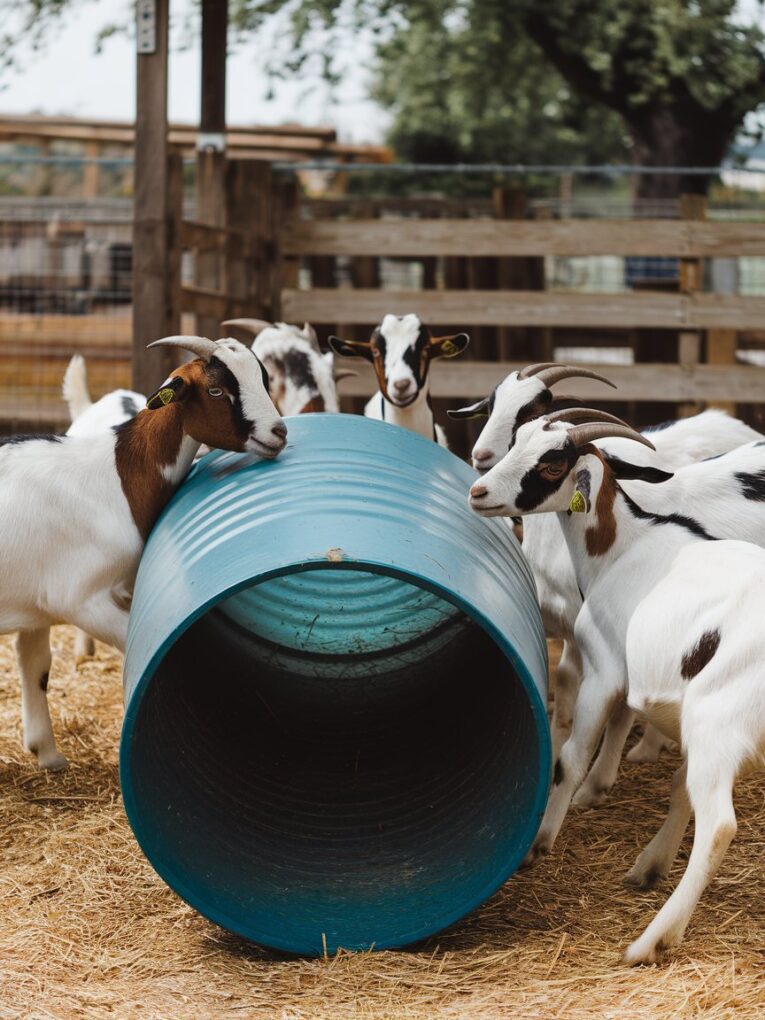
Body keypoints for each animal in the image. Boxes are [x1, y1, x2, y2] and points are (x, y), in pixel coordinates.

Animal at [4, 336, 286, 771]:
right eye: (216, 391)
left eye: (263, 377)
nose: (279, 432)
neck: (118, 475)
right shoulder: (79, 598)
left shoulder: (36, 599)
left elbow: (36, 665)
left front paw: (48, 755)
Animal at [469, 409, 765, 963]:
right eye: (519, 438)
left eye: (552, 463)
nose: (478, 492)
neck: (623, 547)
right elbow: (677, 789)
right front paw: (649, 866)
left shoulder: (605, 669)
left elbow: (570, 759)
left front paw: (540, 841)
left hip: (717, 721)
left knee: (719, 825)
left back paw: (650, 942)